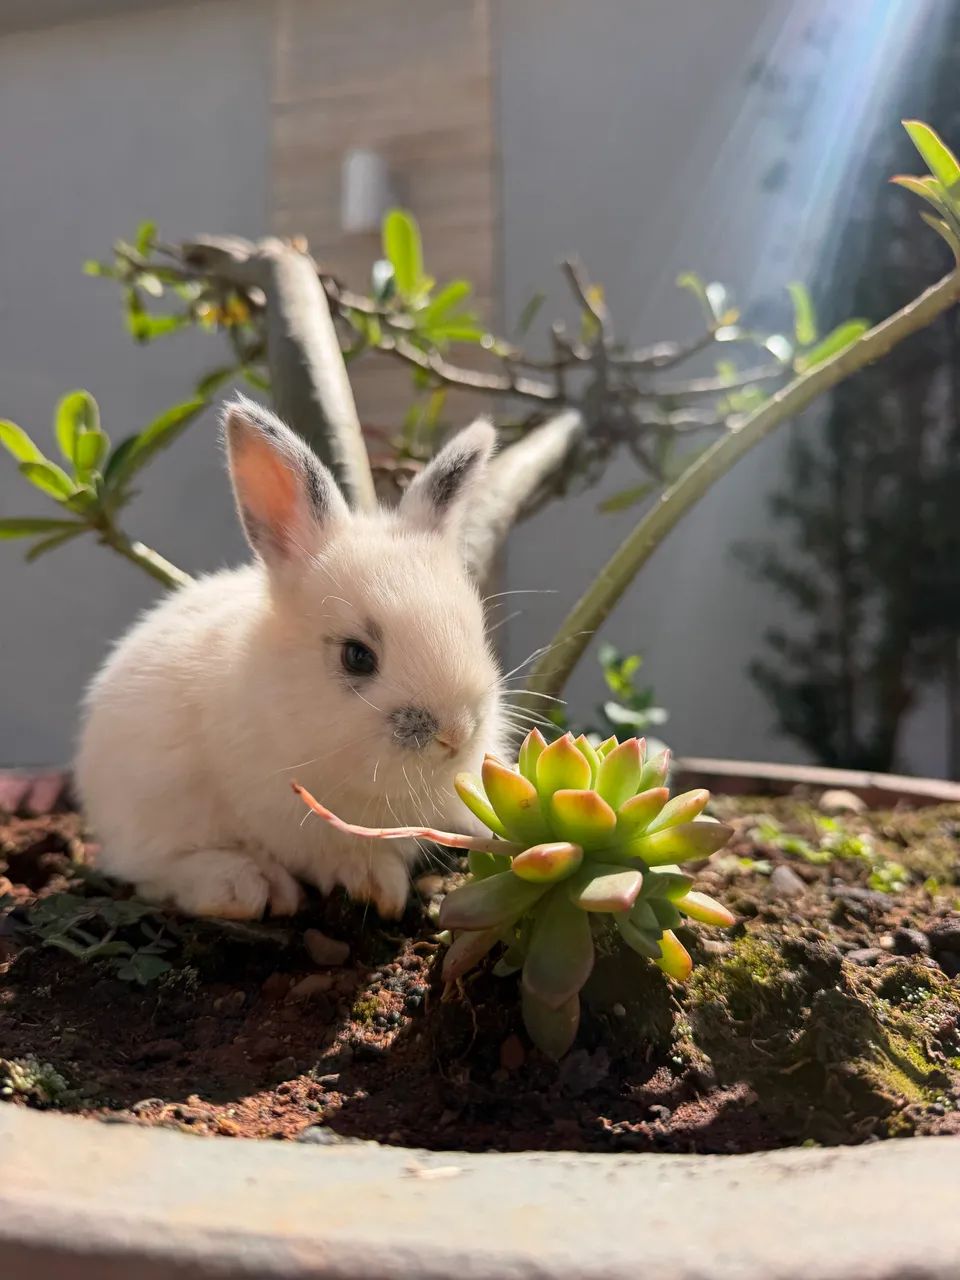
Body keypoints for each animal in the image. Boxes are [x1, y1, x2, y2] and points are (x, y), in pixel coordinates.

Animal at [75, 395, 508, 921]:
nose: (455, 735)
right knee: (154, 869)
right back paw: (243, 888)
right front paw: (376, 888)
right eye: (357, 656)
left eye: (477, 632)